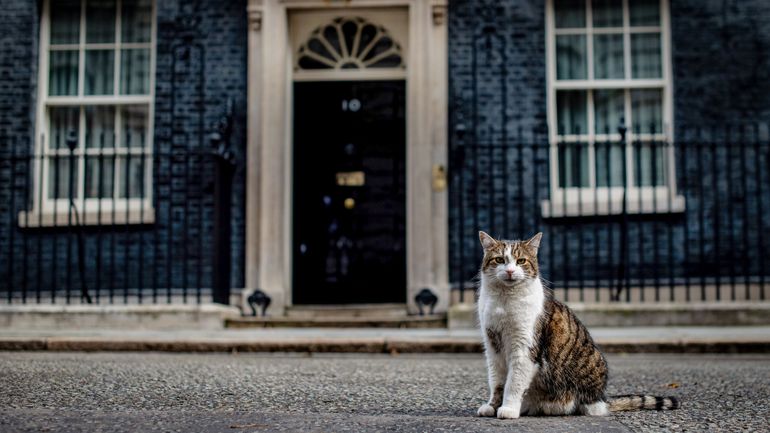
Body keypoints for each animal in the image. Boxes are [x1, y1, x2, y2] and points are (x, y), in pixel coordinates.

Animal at [474, 231, 680, 416]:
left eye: (521, 261)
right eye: (499, 260)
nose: (510, 271)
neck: (504, 301)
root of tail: (602, 398)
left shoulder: (524, 348)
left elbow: (514, 383)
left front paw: (508, 409)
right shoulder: (492, 346)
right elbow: (497, 382)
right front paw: (492, 406)